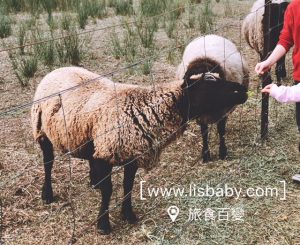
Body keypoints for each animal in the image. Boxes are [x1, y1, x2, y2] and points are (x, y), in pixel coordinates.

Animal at [30, 66, 247, 234]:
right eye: (210, 87)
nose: (243, 90)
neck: (149, 109)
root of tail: (56, 70)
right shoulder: (108, 153)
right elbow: (109, 190)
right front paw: (103, 224)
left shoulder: (131, 154)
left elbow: (128, 186)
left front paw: (128, 215)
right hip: (42, 130)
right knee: (48, 162)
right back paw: (47, 194)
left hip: (88, 136)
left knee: (90, 157)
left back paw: (94, 182)